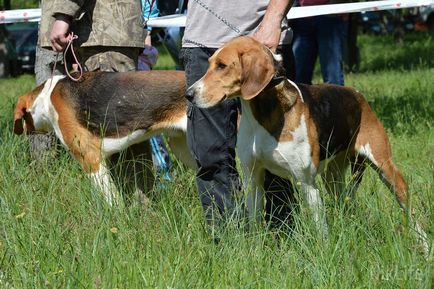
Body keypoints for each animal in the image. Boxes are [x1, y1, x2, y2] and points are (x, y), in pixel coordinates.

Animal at [186, 35, 428, 248]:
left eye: (222, 66)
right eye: (209, 64)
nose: (189, 94)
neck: (262, 115)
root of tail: (357, 94)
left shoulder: (306, 183)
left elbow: (321, 231)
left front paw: (324, 255)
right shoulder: (252, 179)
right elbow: (254, 224)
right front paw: (254, 253)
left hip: (386, 169)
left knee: (409, 210)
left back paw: (424, 245)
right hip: (333, 179)